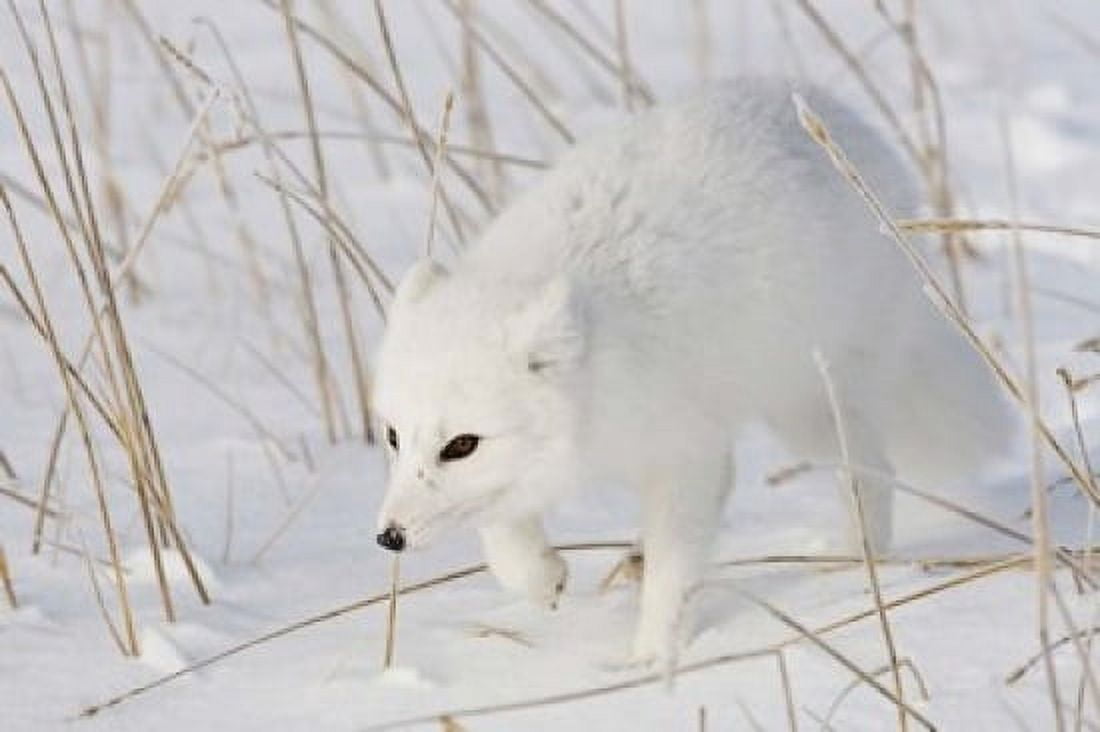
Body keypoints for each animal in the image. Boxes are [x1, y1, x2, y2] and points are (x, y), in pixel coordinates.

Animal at [371, 77, 1012, 664]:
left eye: (460, 445)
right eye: (393, 436)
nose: (388, 537)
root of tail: (826, 106)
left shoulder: (687, 456)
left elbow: (674, 570)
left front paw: (655, 661)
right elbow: (501, 532)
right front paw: (542, 578)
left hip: (810, 406)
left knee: (871, 473)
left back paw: (855, 561)